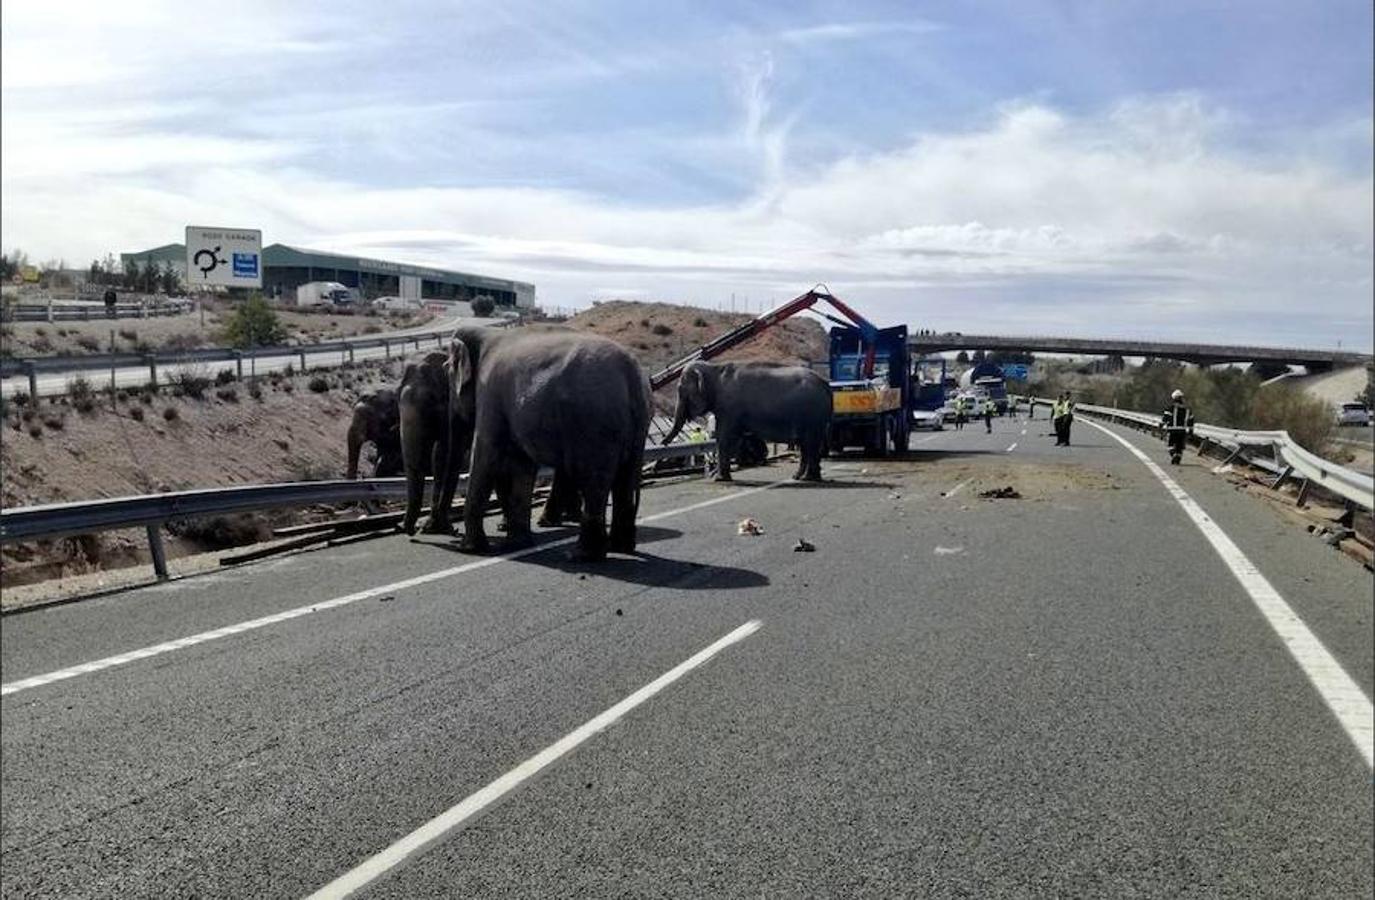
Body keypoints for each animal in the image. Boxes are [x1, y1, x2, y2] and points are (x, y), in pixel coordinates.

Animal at [442, 327, 651, 560]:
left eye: (446, 372)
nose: (451, 531)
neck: (486, 334)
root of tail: (631, 373)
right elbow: (521, 464)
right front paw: (517, 545)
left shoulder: (490, 395)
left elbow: (486, 453)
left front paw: (471, 550)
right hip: (636, 429)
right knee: (625, 479)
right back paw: (620, 548)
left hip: (595, 425)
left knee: (594, 480)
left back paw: (581, 555)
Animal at [662, 360, 830, 483]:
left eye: (680, 389)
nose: (663, 443)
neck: (715, 369)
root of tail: (825, 384)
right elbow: (729, 439)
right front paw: (717, 476)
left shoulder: (730, 407)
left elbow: (726, 437)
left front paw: (718, 479)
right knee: (807, 445)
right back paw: (801, 477)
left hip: (812, 414)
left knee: (810, 443)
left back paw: (808, 478)